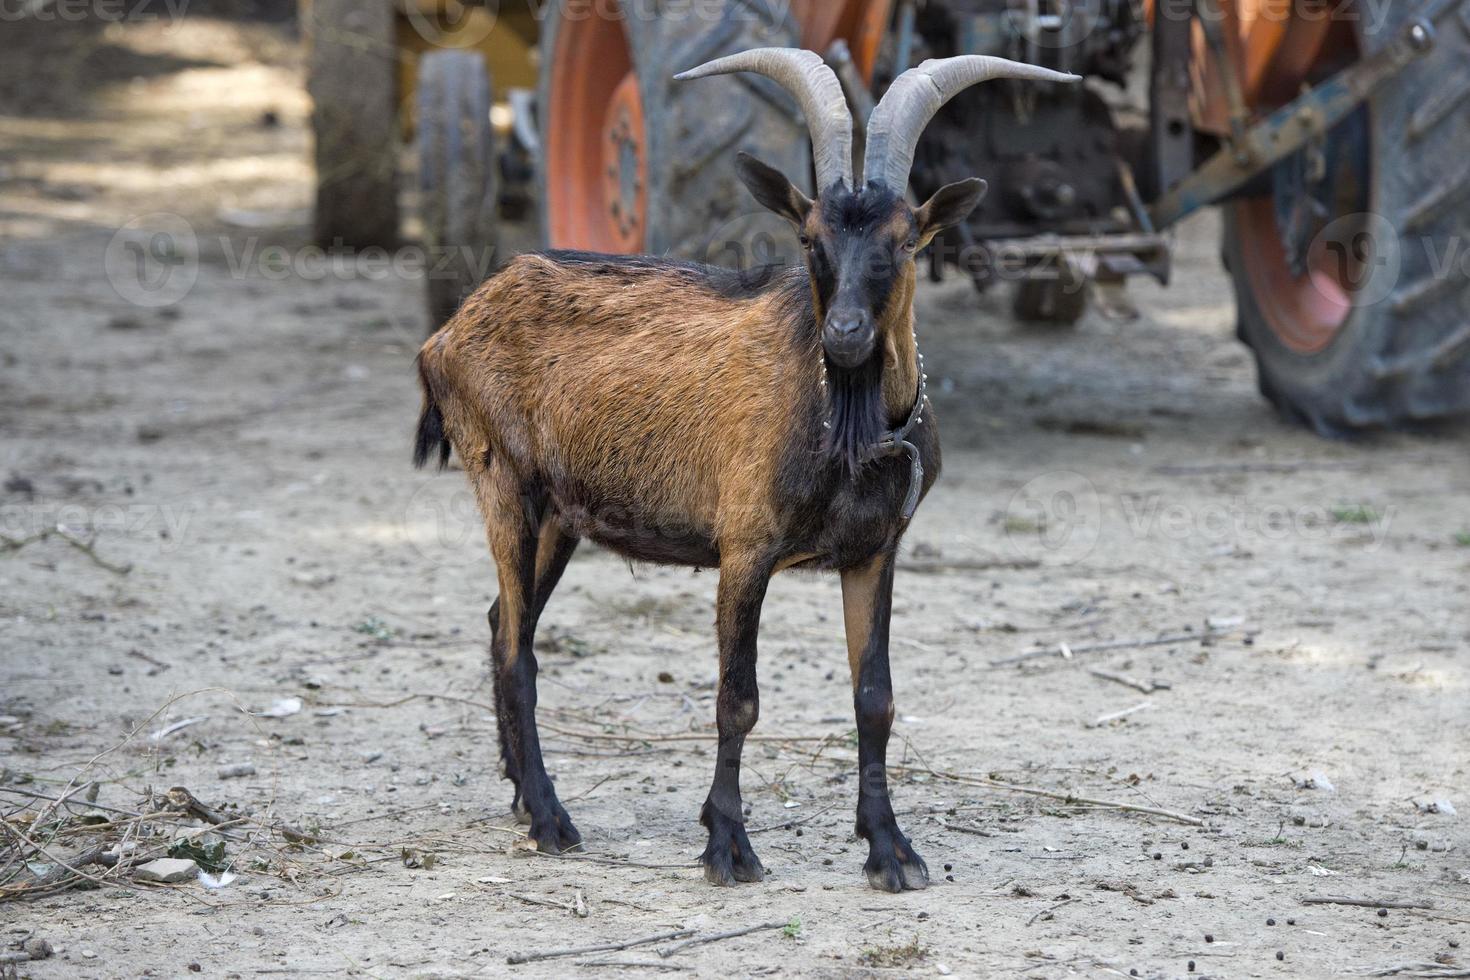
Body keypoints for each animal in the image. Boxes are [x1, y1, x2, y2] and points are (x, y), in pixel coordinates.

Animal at [414, 49, 1081, 893]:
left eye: (904, 240)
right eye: (810, 236)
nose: (846, 333)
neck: (842, 419)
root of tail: (448, 331)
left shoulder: (875, 551)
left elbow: (875, 698)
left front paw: (890, 850)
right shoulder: (745, 546)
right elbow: (738, 699)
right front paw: (728, 845)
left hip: (561, 517)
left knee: (504, 619)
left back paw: (518, 793)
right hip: (504, 481)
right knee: (516, 649)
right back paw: (550, 818)